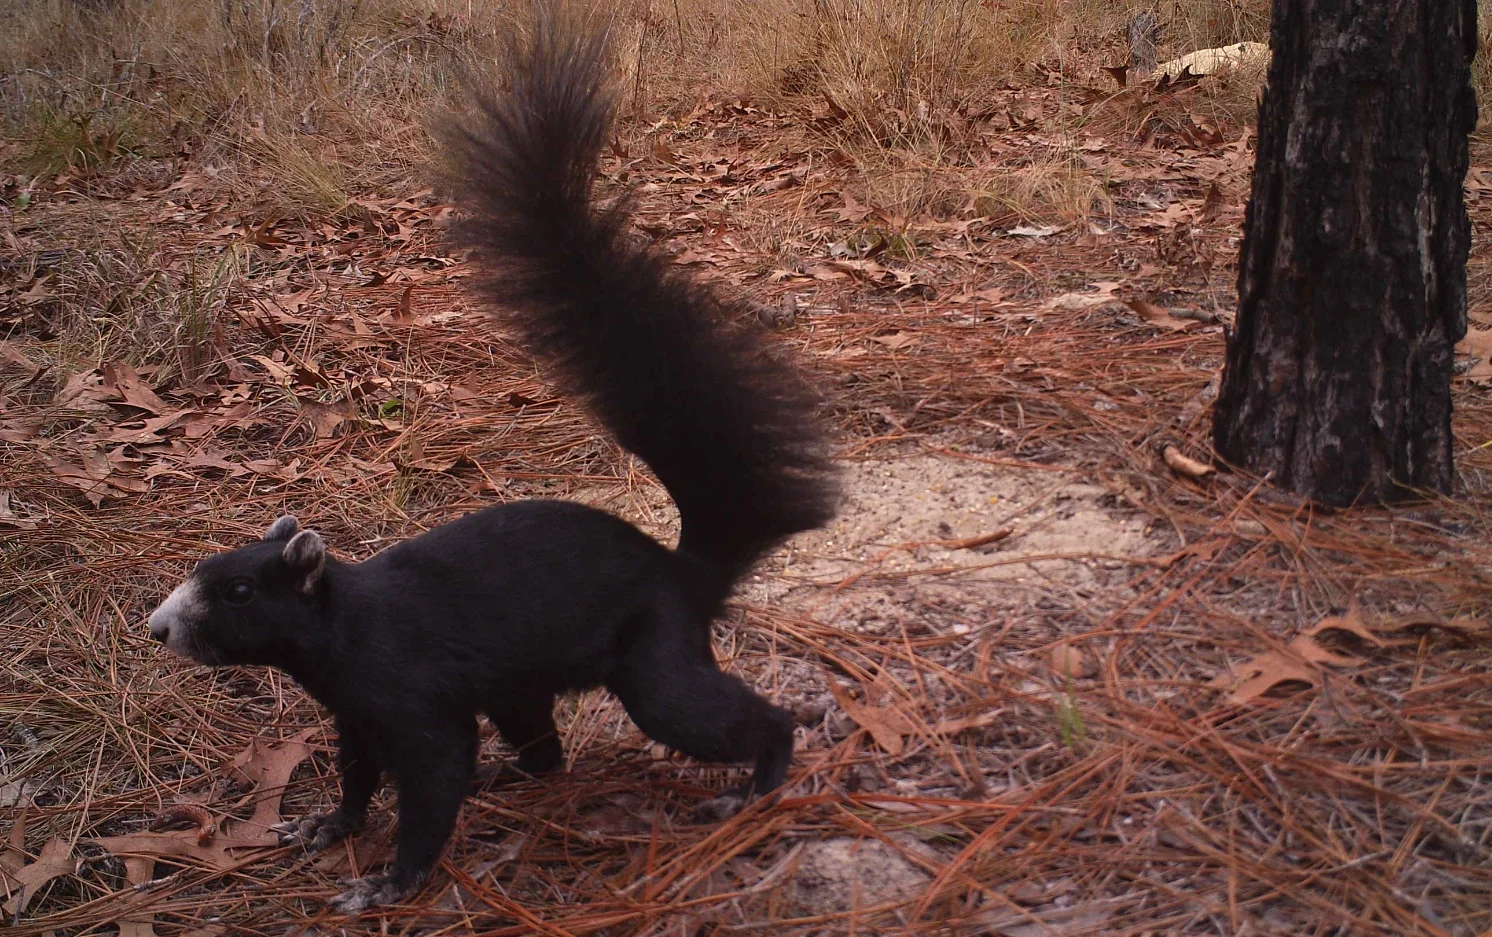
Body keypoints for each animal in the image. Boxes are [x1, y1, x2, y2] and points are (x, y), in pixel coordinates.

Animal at [144, 3, 839, 916]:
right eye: (205, 571)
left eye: (238, 592)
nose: (159, 626)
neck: (345, 630)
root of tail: (684, 575)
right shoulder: (355, 715)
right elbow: (358, 776)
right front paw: (328, 825)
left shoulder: (411, 698)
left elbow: (433, 781)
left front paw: (388, 882)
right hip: (522, 687)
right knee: (544, 751)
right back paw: (515, 777)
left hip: (652, 667)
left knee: (725, 716)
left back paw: (755, 783)